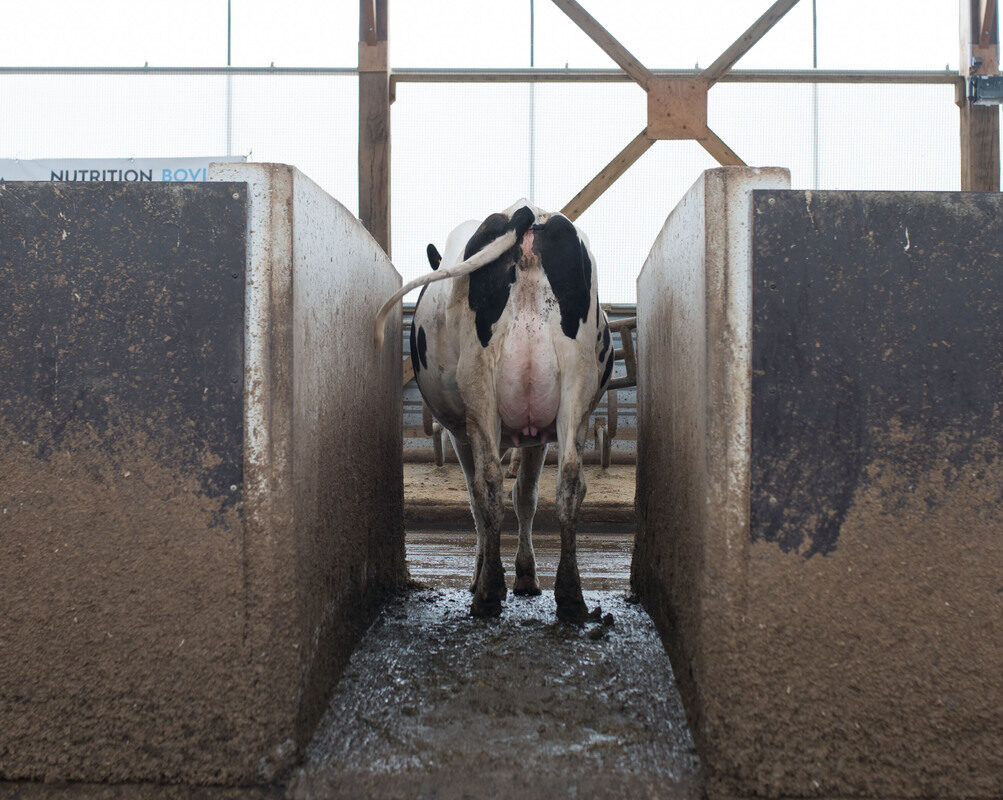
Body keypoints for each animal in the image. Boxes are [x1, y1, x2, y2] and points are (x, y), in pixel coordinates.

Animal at [375, 202, 613, 625]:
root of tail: (527, 215)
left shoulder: (460, 431)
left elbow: (479, 499)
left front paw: (486, 572)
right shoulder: (537, 435)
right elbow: (526, 497)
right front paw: (526, 575)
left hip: (479, 384)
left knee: (487, 484)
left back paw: (487, 592)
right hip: (577, 388)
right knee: (569, 480)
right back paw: (570, 596)